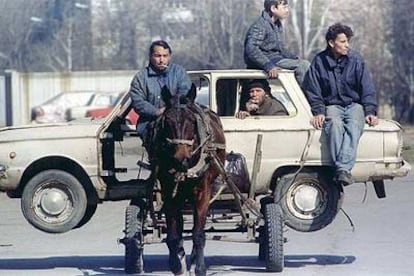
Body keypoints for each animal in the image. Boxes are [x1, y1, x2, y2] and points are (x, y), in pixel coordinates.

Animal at [150, 84, 226, 276]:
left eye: (192, 121)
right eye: (167, 121)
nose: (181, 159)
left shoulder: (202, 193)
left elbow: (198, 234)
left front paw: (200, 268)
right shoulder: (169, 193)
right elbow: (173, 234)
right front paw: (176, 265)